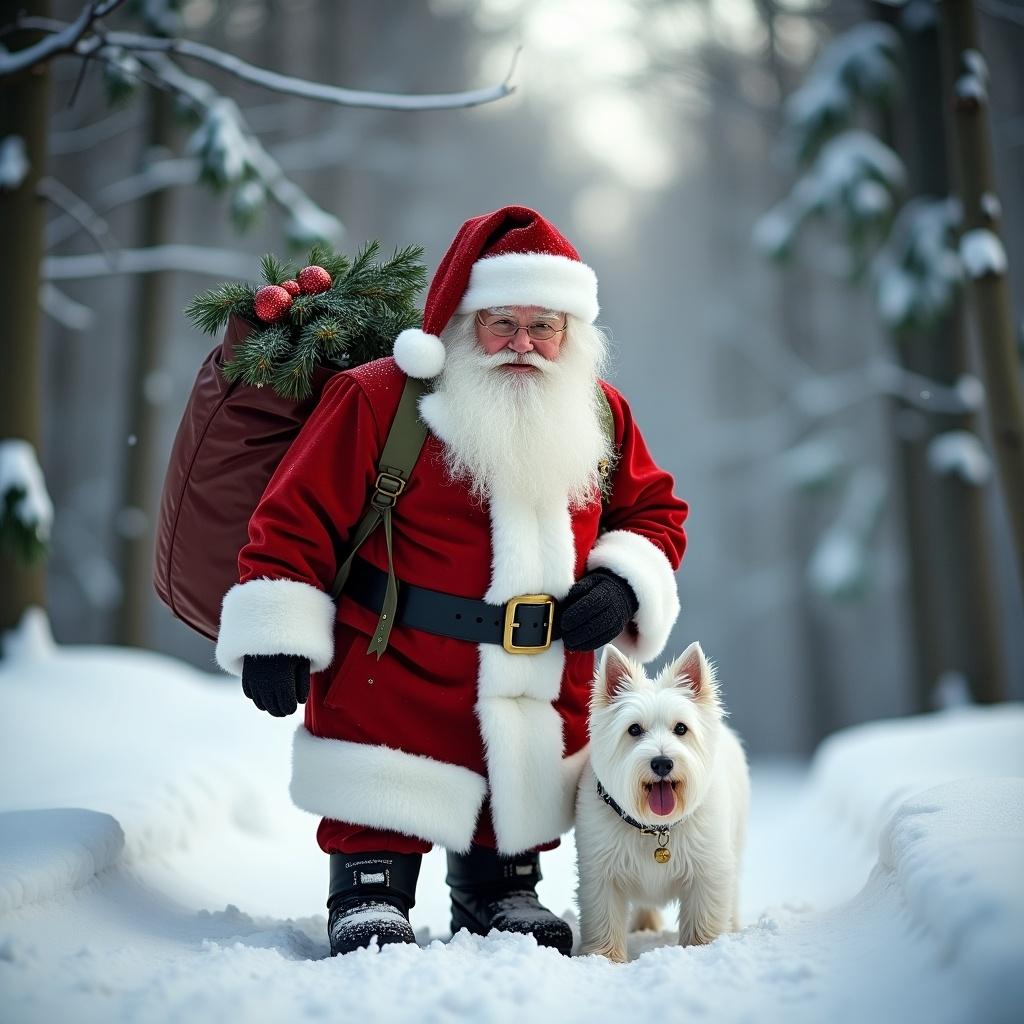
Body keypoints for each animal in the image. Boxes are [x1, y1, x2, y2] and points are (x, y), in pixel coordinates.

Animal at [577, 638, 753, 958]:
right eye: (634, 729)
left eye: (681, 728)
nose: (662, 763)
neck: (655, 828)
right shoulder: (601, 874)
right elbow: (604, 919)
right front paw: (604, 958)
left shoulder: (708, 870)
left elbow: (704, 919)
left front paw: (701, 950)